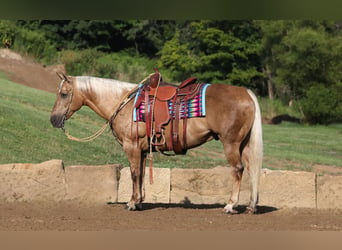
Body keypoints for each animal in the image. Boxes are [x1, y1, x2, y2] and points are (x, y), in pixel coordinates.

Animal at [50, 72, 262, 213]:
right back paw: (251, 206)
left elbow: (134, 173)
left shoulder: (132, 146)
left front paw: (132, 203)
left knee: (238, 170)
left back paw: (230, 205)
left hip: (231, 143)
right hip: (244, 145)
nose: (53, 119)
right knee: (252, 170)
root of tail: (246, 93)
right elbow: (141, 174)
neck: (124, 104)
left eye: (63, 94)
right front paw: (139, 201)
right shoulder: (142, 150)